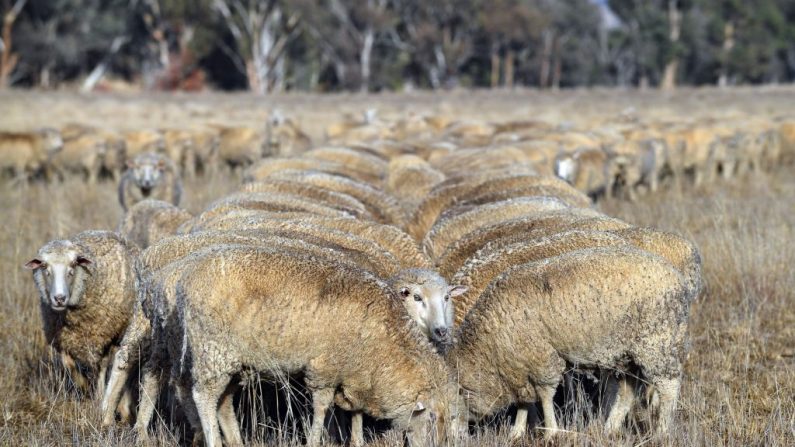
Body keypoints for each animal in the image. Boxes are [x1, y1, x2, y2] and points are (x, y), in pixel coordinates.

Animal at [24, 231, 139, 400]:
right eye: (44, 266)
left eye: (73, 265)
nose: (59, 298)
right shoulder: (63, 339)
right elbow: (69, 365)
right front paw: (83, 385)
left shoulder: (101, 338)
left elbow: (100, 367)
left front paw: (96, 394)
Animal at [175, 245, 458, 447]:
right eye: (432, 418)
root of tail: (187, 276)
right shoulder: (325, 368)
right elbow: (321, 409)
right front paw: (313, 440)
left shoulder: (355, 372)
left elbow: (356, 412)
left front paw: (356, 441)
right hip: (213, 350)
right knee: (203, 396)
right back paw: (213, 440)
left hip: (235, 360)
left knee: (223, 402)